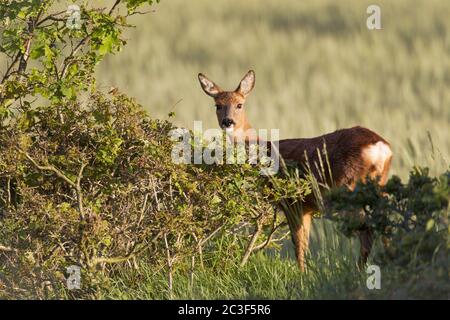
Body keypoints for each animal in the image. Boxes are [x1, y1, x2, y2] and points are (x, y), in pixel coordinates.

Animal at [199, 69, 392, 270]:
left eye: (239, 104)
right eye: (217, 105)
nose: (227, 122)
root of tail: (380, 147)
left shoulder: (291, 201)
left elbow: (298, 242)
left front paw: (302, 273)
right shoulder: (306, 207)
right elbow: (303, 242)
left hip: (347, 188)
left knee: (368, 228)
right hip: (379, 184)